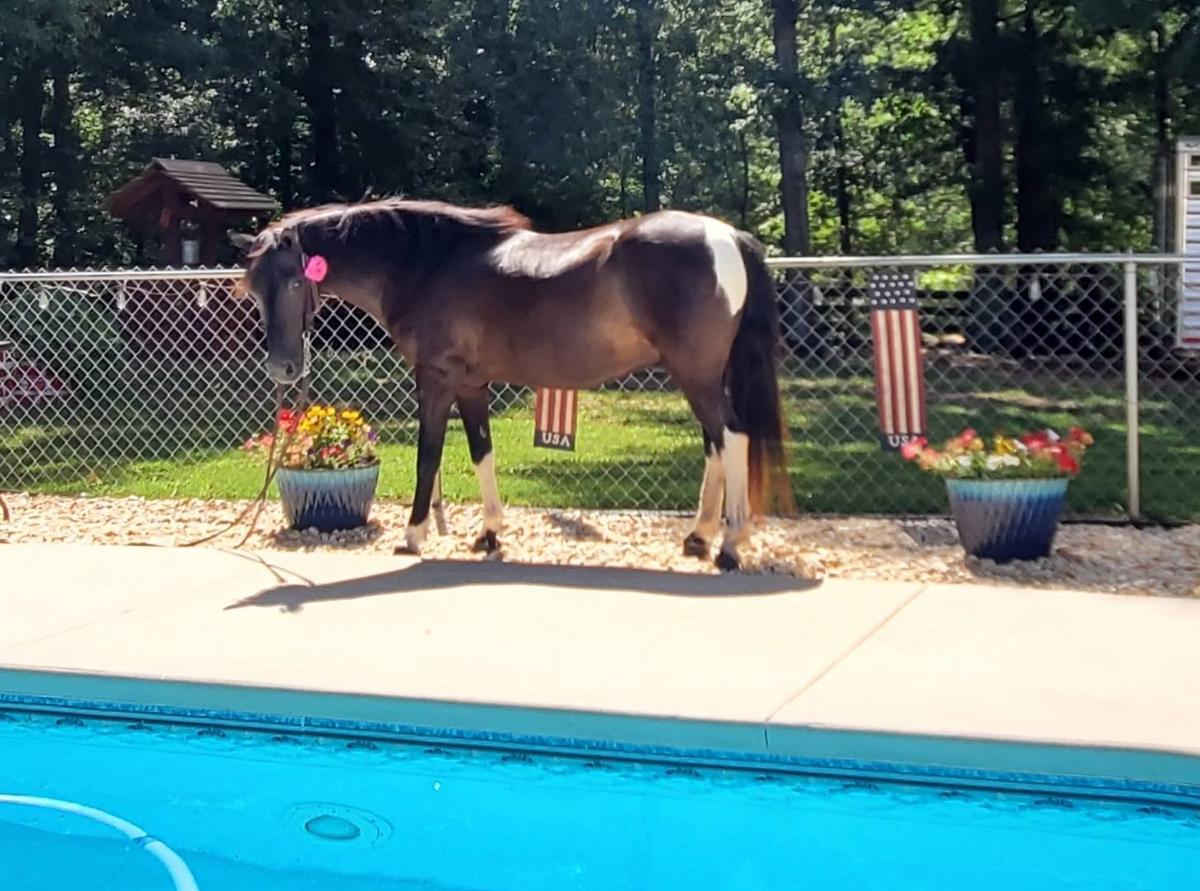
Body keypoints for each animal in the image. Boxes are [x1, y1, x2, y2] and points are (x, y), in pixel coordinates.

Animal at [233, 198, 793, 570]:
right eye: (254, 288)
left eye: (293, 281)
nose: (282, 370)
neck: (425, 263)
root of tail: (727, 237)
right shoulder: (472, 385)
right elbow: (482, 451)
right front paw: (489, 535)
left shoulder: (436, 381)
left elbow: (428, 456)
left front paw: (414, 536)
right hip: (701, 376)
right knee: (716, 445)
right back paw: (698, 537)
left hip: (697, 376)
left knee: (733, 438)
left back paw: (728, 547)